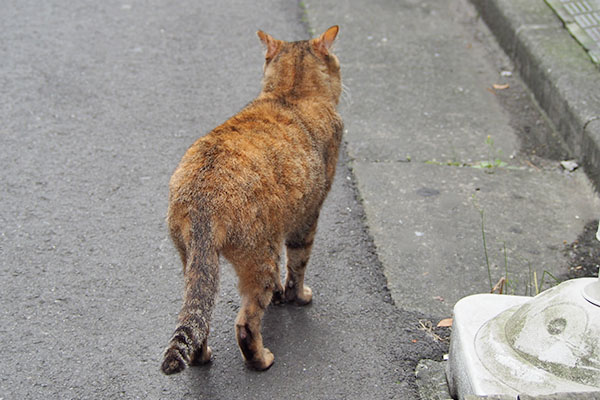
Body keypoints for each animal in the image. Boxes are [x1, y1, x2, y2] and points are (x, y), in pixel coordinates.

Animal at [161, 26, 342, 374]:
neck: (291, 94)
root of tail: (202, 195)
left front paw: (283, 295)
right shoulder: (307, 216)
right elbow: (298, 265)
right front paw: (298, 296)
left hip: (193, 259)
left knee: (201, 316)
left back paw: (203, 356)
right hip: (260, 256)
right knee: (245, 323)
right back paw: (262, 360)